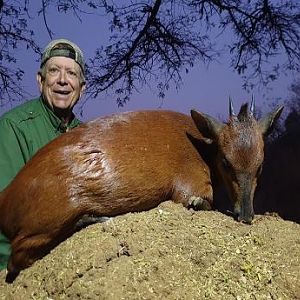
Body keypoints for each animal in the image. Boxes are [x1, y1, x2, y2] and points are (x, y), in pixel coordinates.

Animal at [0, 99, 282, 282]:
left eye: (260, 164)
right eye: (225, 161)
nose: (246, 214)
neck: (204, 147)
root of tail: (5, 199)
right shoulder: (189, 185)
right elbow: (201, 202)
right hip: (48, 219)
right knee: (16, 259)